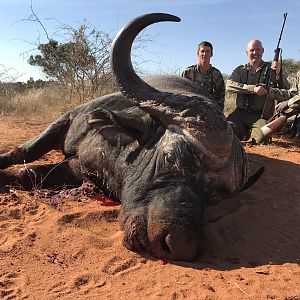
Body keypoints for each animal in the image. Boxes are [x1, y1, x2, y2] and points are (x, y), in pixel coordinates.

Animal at [0, 12, 262, 262]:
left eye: (214, 197)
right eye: (171, 158)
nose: (177, 245)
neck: (111, 150)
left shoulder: (79, 169)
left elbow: (30, 173)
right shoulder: (67, 120)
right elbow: (24, 152)